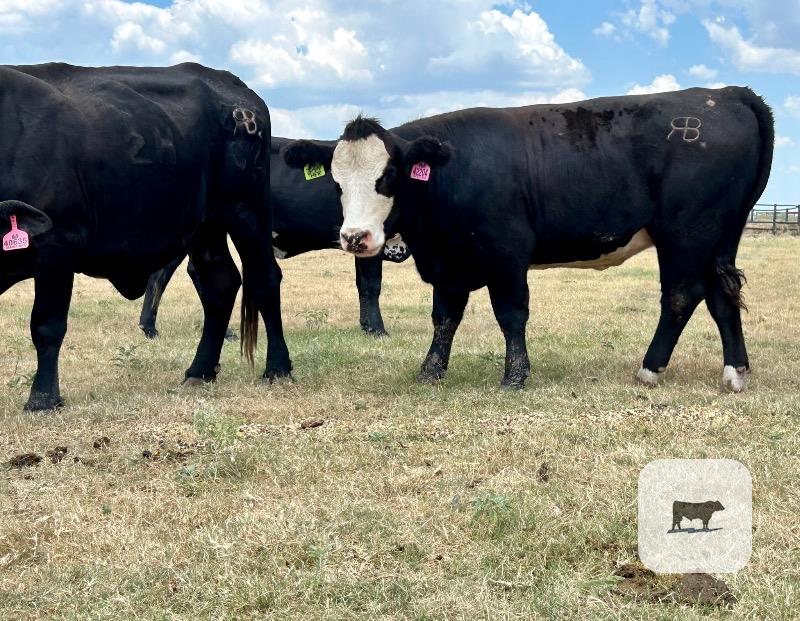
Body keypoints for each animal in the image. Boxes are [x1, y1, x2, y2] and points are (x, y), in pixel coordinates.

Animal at [0, 62, 292, 411]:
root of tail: (238, 91)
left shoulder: (56, 245)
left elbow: (46, 324)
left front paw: (43, 398)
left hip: (247, 211)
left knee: (264, 280)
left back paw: (278, 368)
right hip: (204, 228)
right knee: (219, 285)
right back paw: (199, 371)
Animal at [282, 87, 773, 391]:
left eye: (388, 176)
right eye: (336, 182)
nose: (354, 237)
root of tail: (728, 93)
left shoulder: (507, 254)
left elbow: (511, 315)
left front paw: (515, 376)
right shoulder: (449, 262)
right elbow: (444, 318)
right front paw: (431, 371)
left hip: (687, 232)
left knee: (681, 295)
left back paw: (649, 370)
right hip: (720, 237)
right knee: (721, 295)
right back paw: (735, 372)